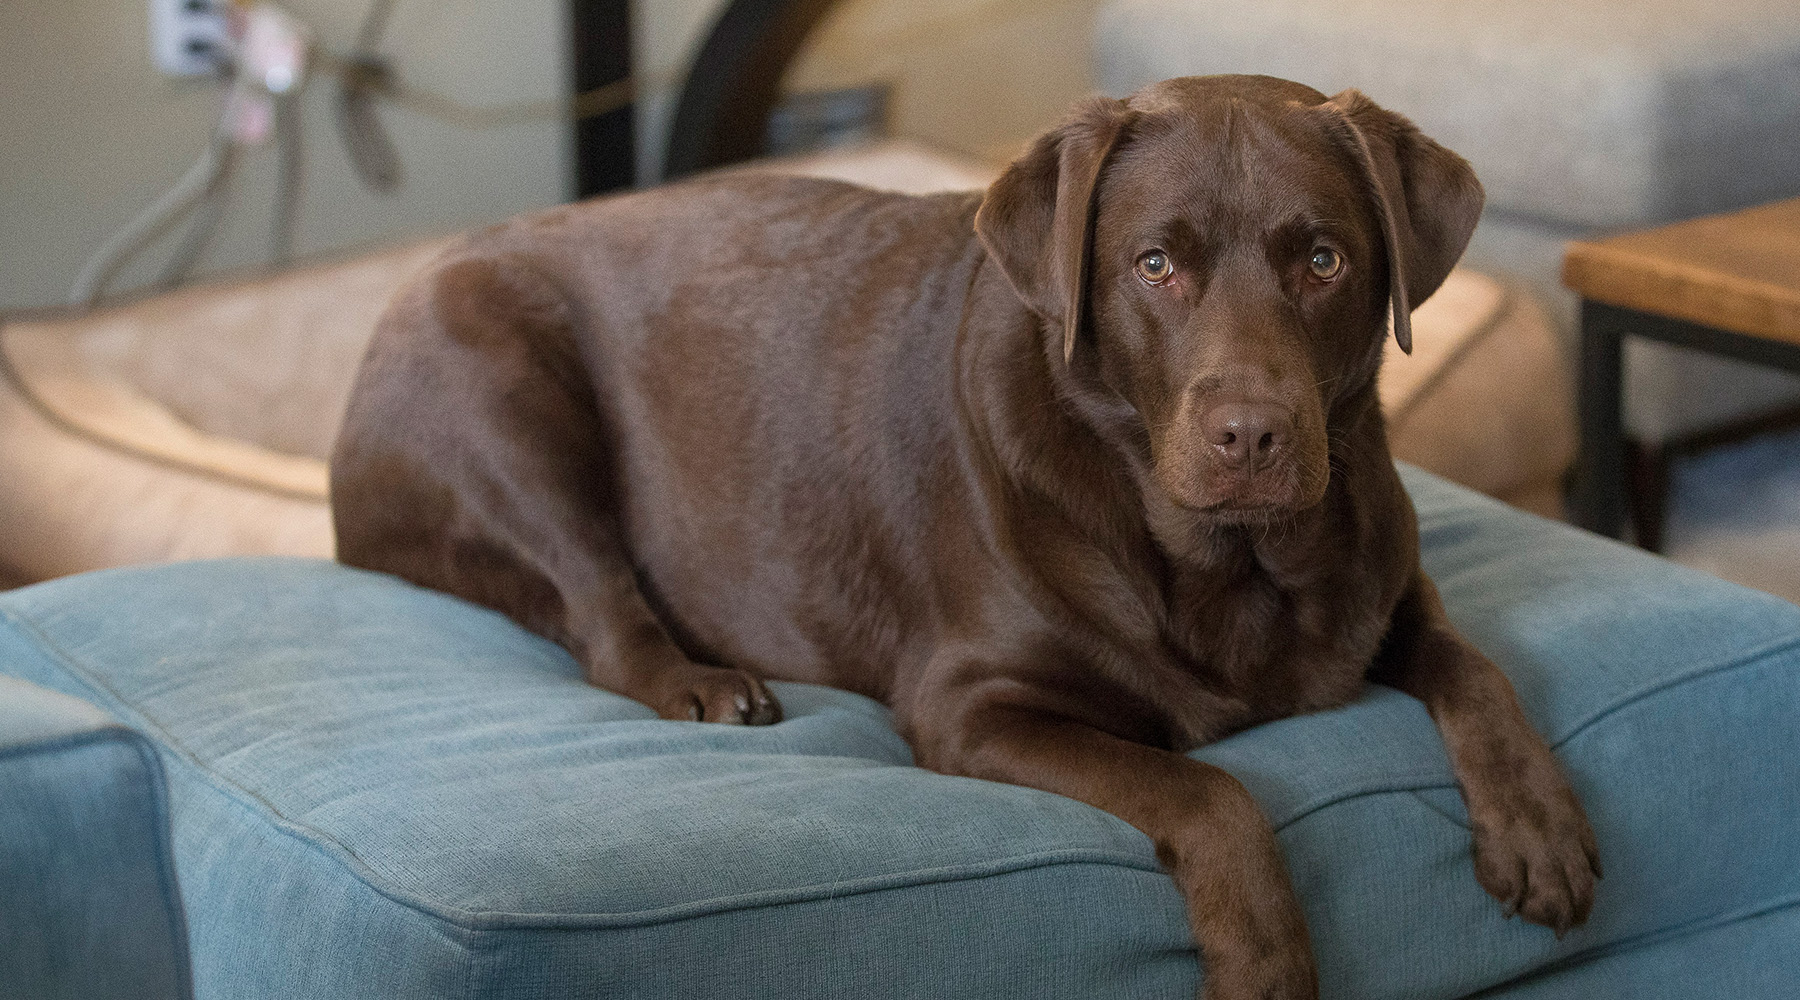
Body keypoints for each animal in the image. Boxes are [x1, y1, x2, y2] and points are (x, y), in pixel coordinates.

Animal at [331, 74, 1598, 992]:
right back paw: (702, 683)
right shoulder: (968, 705)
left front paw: (1539, 827)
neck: (1223, 563)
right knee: (600, 609)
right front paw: (1268, 964)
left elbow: (1474, 665)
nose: (1253, 434)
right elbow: (1211, 792)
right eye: (1156, 264)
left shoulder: (1383, 586)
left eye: (1324, 258)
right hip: (501, 387)